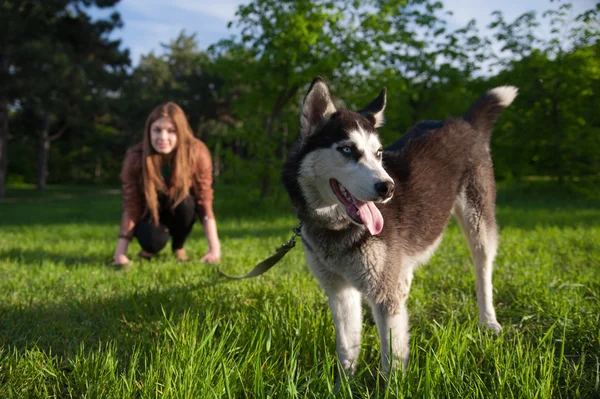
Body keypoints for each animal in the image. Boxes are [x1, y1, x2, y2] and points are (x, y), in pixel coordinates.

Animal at [282, 76, 516, 380]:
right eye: (347, 149)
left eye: (378, 153)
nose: (388, 187)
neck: (336, 229)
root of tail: (463, 122)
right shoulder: (339, 291)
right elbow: (347, 348)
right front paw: (343, 384)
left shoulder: (382, 293)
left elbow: (391, 356)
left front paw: (392, 384)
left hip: (478, 224)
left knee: (483, 271)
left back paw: (488, 321)